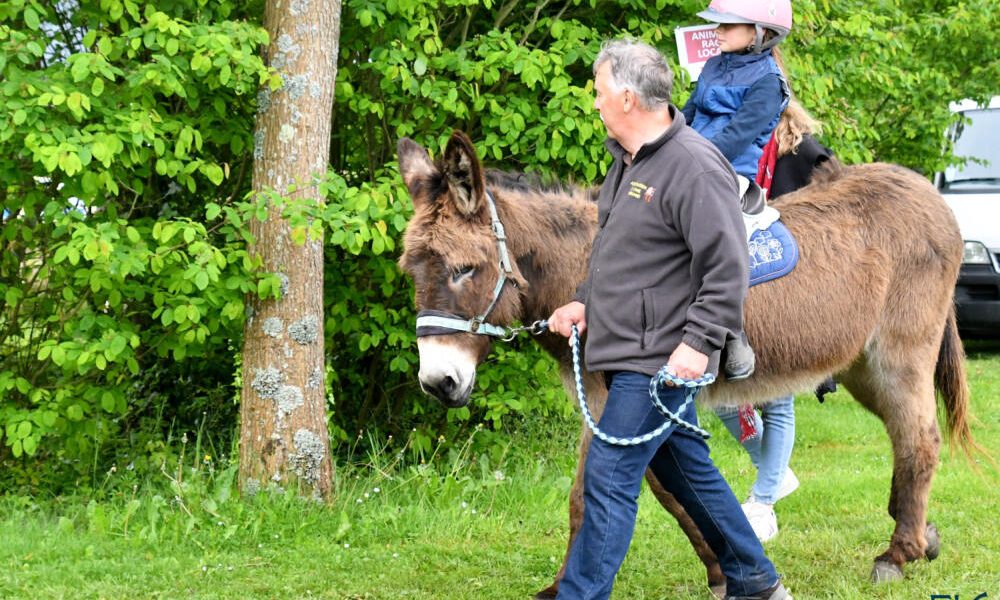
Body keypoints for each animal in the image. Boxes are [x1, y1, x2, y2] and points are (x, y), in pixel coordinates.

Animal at [394, 130, 972, 596]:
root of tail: (926, 191)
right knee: (904, 436)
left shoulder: (630, 397)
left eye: (464, 270)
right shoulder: (620, 403)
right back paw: (922, 536)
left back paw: (897, 555)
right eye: (409, 272)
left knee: (920, 438)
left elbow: (615, 493)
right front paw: (721, 569)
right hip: (860, 366)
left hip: (899, 354)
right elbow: (654, 492)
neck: (590, 269)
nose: (438, 382)